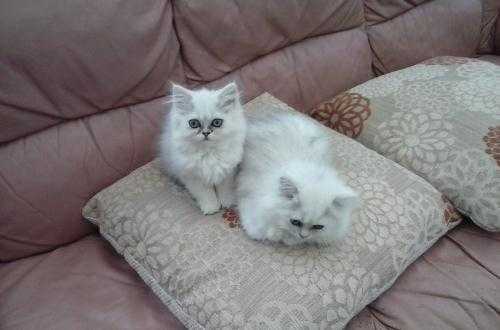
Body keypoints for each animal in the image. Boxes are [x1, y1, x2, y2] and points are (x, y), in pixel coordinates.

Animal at [160, 83, 246, 214]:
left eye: (217, 122)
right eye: (194, 123)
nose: (206, 133)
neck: (208, 153)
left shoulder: (227, 172)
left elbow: (225, 190)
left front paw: (227, 202)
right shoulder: (192, 176)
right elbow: (205, 194)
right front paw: (211, 208)